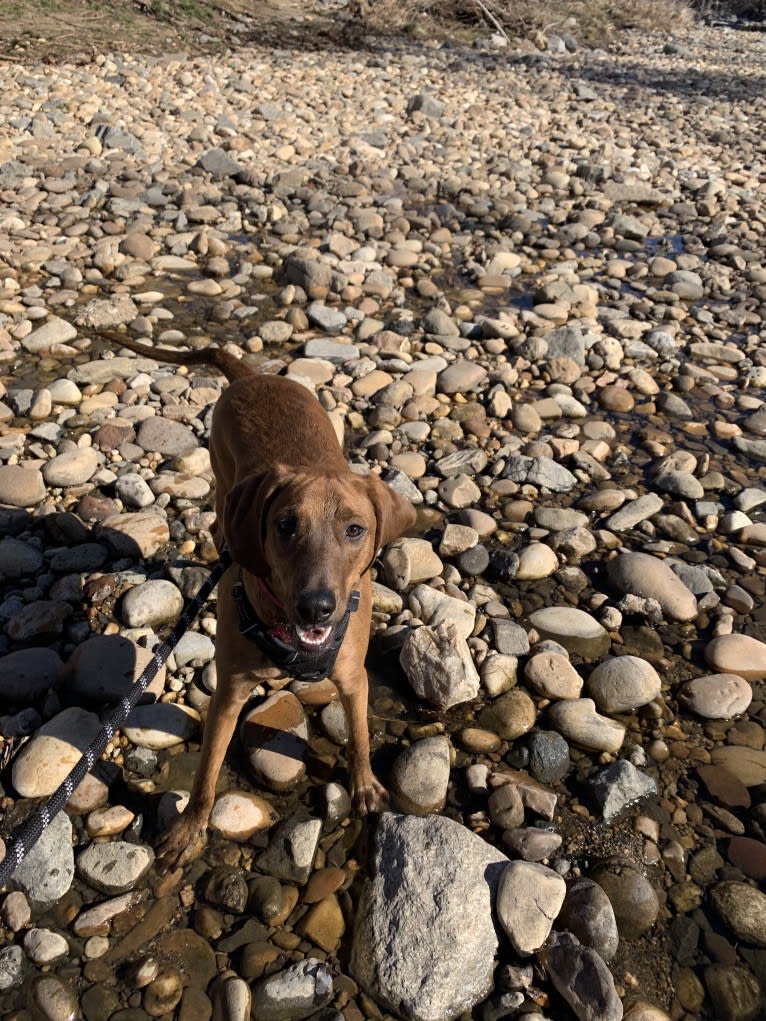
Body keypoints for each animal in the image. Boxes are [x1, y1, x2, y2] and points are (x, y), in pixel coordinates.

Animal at [101, 330, 416, 865]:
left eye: (355, 530)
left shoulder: (353, 677)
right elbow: (207, 773)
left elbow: (359, 735)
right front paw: (189, 828)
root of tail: (251, 376)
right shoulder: (228, 693)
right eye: (286, 526)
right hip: (223, 482)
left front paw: (364, 786)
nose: (317, 606)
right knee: (217, 524)